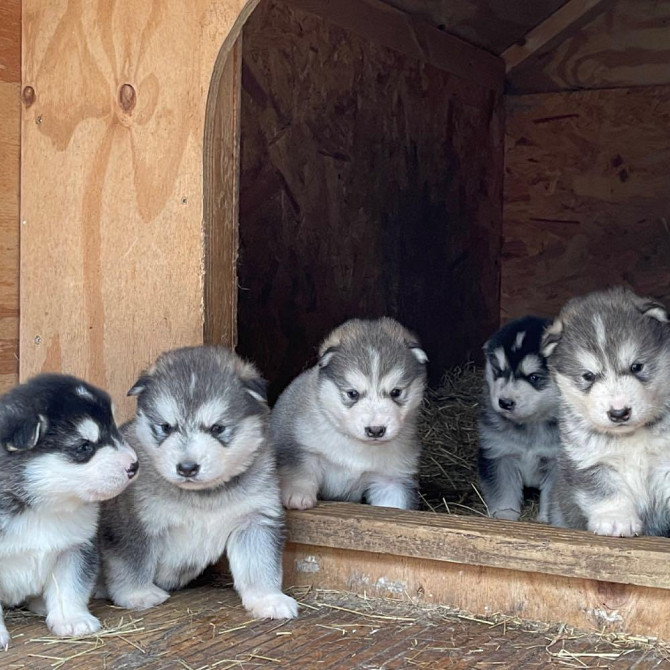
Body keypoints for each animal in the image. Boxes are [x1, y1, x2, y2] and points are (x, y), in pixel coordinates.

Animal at [0, 372, 138, 652]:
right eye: (84, 447)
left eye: (114, 429)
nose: (134, 465)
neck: (41, 507)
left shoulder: (75, 548)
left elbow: (70, 586)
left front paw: (72, 619)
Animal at [100, 350, 300, 624]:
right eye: (166, 427)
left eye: (217, 428)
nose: (187, 468)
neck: (203, 497)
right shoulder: (133, 523)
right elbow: (133, 561)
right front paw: (137, 595)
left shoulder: (255, 520)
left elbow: (259, 565)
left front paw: (268, 599)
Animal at [272, 318, 430, 512]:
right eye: (352, 393)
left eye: (396, 392)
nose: (376, 430)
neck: (355, 445)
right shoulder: (300, 445)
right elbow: (300, 469)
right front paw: (297, 494)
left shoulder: (391, 479)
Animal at [480, 316, 564, 524]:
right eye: (499, 371)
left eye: (534, 377)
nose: (505, 402)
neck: (531, 425)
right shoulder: (499, 454)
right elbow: (503, 492)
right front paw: (505, 516)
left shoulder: (556, 463)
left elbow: (551, 497)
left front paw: (546, 520)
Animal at [544, 286, 670, 540]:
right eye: (588, 376)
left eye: (636, 366)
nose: (619, 412)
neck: (631, 438)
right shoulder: (587, 460)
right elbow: (604, 492)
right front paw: (615, 519)